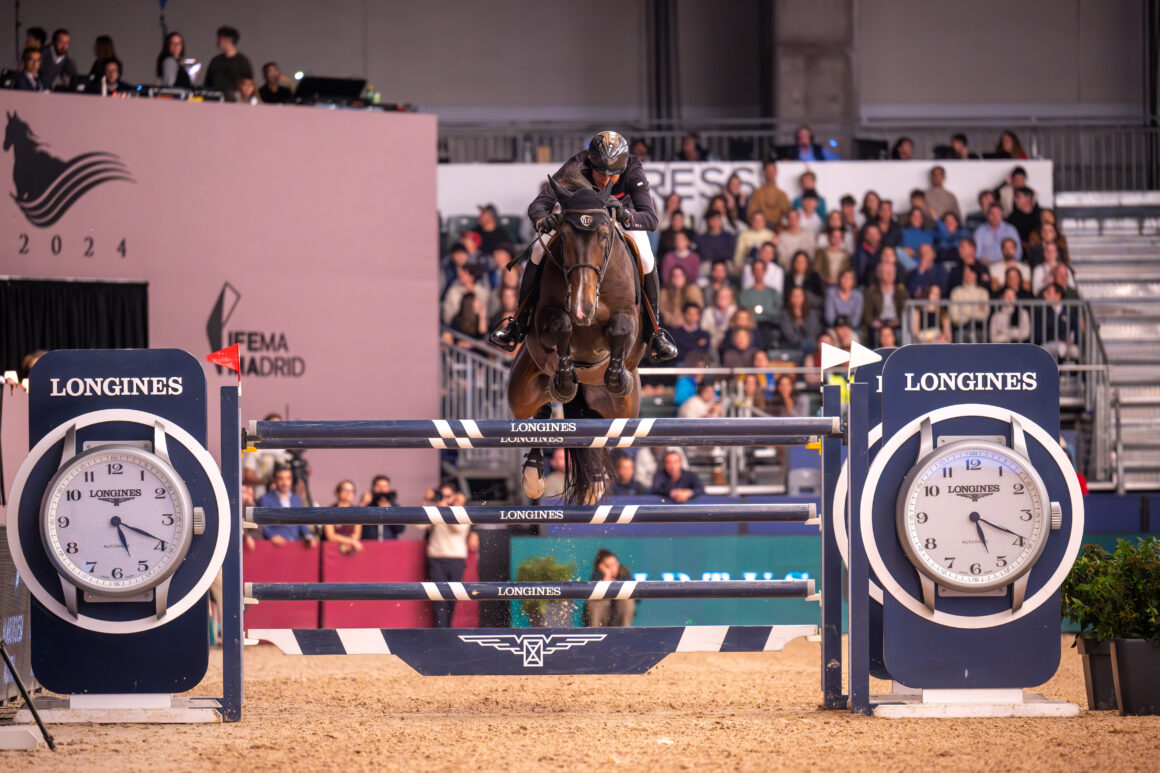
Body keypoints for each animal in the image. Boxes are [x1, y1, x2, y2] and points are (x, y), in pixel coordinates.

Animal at [508, 171, 649, 503]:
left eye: (604, 235)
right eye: (565, 236)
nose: (583, 310)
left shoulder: (630, 320)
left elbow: (621, 329)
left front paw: (616, 375)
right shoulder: (545, 320)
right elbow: (561, 324)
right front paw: (565, 375)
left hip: (622, 410)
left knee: (601, 433)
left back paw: (596, 481)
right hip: (522, 389)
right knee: (538, 411)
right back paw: (534, 474)